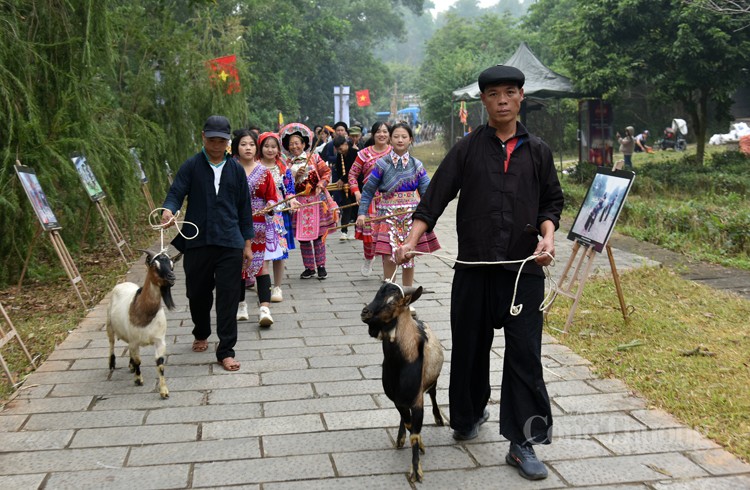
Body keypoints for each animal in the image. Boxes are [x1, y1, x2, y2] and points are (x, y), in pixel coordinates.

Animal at [106, 251, 181, 396]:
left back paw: (130, 366)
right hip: (109, 324)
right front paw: (138, 379)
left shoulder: (159, 340)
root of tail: (122, 283)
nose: (172, 277)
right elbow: (138, 361)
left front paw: (164, 391)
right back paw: (112, 364)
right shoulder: (135, 341)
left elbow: (160, 363)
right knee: (111, 342)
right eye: (154, 265)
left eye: (172, 264)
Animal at [362, 282, 444, 480]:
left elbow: (415, 431)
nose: (365, 312)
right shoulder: (397, 399)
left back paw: (439, 419)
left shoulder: (417, 400)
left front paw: (416, 470)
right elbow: (407, 423)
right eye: (376, 293)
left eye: (392, 302)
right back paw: (400, 439)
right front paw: (415, 444)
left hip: (432, 383)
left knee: (433, 395)